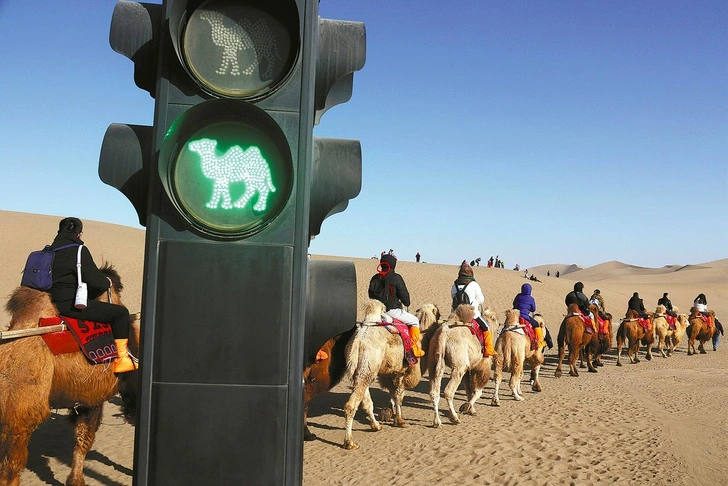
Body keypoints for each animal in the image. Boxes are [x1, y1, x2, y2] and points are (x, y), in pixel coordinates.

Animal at [0, 266, 139, 486]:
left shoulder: (86, 398)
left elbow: (82, 437)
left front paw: (75, 479)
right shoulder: (95, 396)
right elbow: (85, 437)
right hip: (19, 412)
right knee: (10, 466)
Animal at [342, 302, 438, 450]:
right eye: (437, 311)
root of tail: (358, 340)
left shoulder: (391, 374)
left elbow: (394, 396)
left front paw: (396, 418)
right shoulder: (403, 373)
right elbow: (399, 396)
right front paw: (401, 421)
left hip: (363, 371)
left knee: (366, 400)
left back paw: (376, 426)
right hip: (368, 365)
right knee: (351, 405)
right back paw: (350, 442)